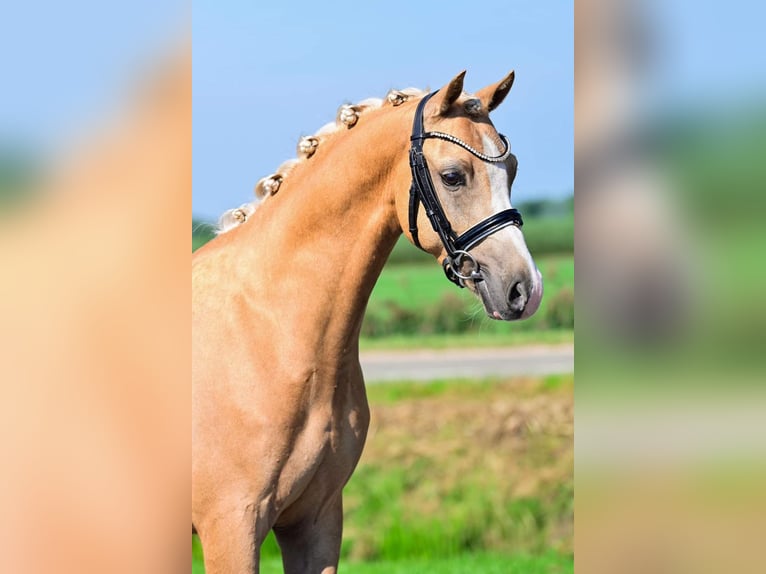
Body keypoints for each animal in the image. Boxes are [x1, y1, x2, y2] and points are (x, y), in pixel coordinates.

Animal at [192, 70, 543, 574]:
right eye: (453, 176)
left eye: (511, 169)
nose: (524, 289)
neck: (270, 330)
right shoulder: (231, 527)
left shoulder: (316, 522)